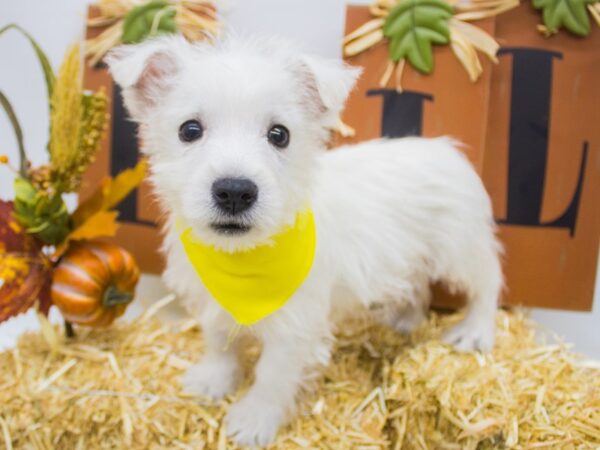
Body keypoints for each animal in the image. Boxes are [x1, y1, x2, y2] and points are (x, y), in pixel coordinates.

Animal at [106, 35, 502, 446]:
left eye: (279, 135)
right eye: (189, 130)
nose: (234, 191)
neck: (242, 260)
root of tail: (447, 148)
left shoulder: (294, 329)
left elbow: (272, 376)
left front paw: (254, 420)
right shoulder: (214, 303)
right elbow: (220, 343)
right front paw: (214, 380)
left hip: (461, 250)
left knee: (487, 284)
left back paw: (475, 332)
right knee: (418, 287)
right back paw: (405, 320)